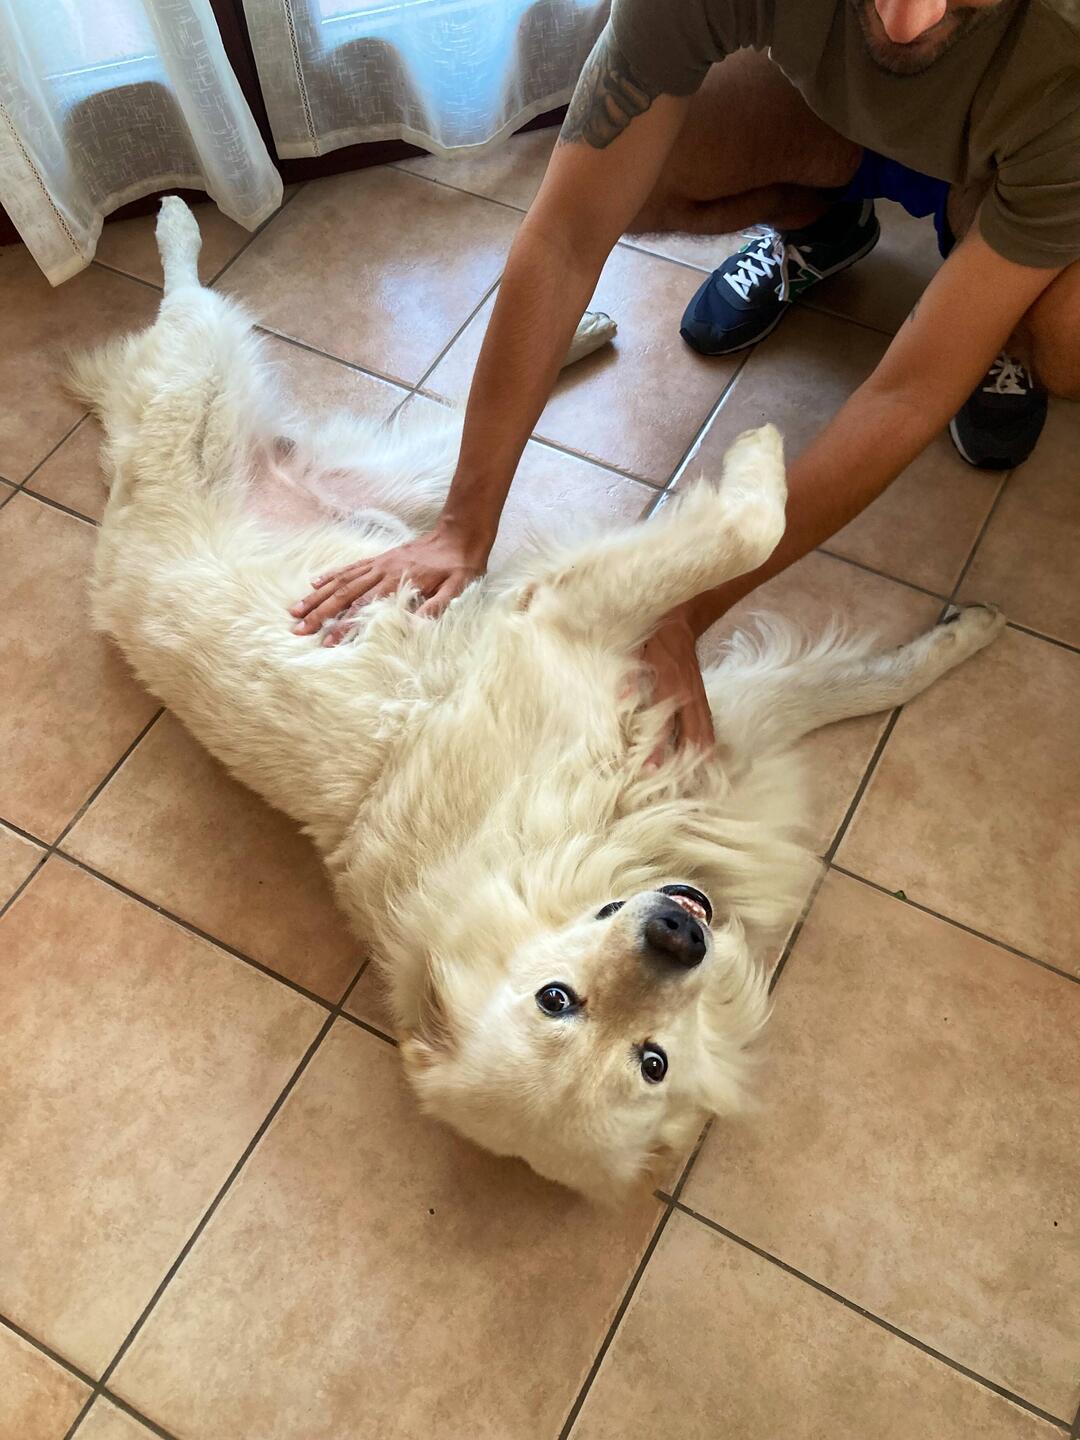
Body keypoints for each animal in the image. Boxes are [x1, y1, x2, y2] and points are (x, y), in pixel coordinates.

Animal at [70, 198, 1003, 1201]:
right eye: (571, 1010)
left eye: (647, 1058)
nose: (676, 933)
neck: (553, 844)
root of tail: (111, 512)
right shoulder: (592, 630)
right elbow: (755, 530)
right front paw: (762, 456)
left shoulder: (685, 712)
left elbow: (863, 669)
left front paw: (967, 633)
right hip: (216, 394)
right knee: (188, 309)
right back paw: (175, 224)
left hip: (409, 494)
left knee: (468, 415)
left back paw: (580, 329)